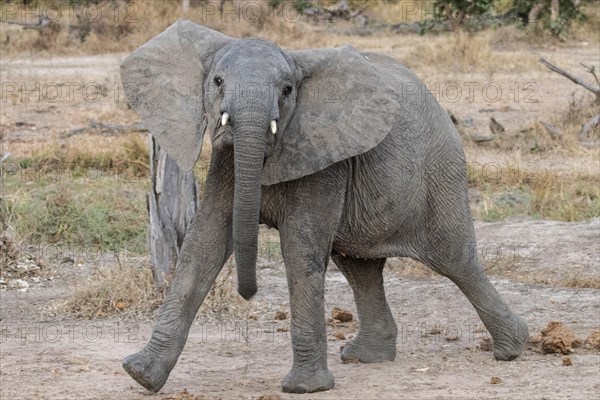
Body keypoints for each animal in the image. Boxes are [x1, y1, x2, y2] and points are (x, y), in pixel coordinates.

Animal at [119, 21, 528, 394]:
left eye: (287, 91)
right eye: (217, 81)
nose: (248, 294)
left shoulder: (324, 159)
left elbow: (300, 249)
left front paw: (305, 388)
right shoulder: (224, 161)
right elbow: (203, 243)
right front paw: (140, 374)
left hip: (440, 170)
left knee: (456, 261)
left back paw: (514, 348)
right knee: (359, 267)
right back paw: (366, 357)